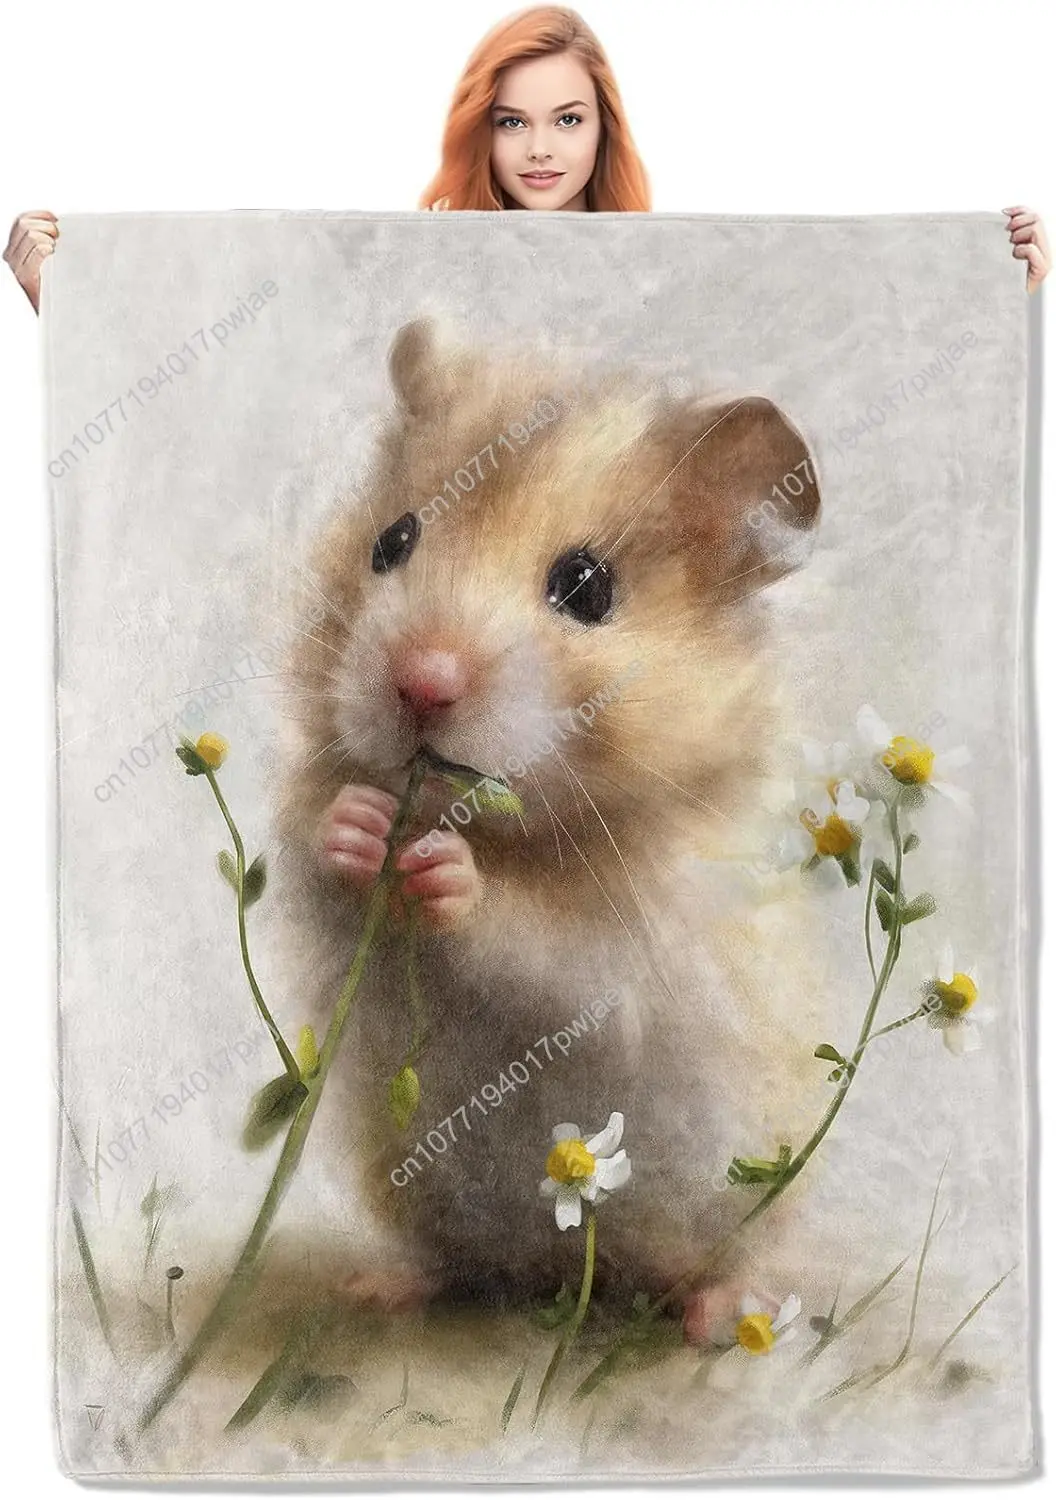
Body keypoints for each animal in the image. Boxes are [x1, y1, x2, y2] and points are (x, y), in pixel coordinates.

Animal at [274, 315, 825, 1336]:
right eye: (391, 541)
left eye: (586, 587)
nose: (421, 683)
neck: (513, 831)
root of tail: (572, 1272)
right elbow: (315, 862)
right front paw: (359, 824)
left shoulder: (634, 942)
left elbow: (538, 946)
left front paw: (445, 871)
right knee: (457, 1264)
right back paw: (380, 1287)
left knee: (724, 1260)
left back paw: (725, 1315)